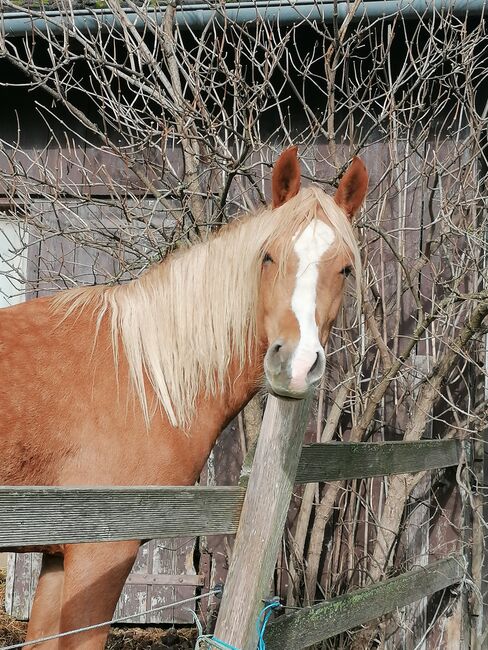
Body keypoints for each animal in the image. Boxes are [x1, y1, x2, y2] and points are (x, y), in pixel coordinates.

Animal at [0, 144, 366, 644]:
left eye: (345, 269)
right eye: (267, 257)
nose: (295, 363)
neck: (143, 377)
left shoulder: (58, 558)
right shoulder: (99, 555)